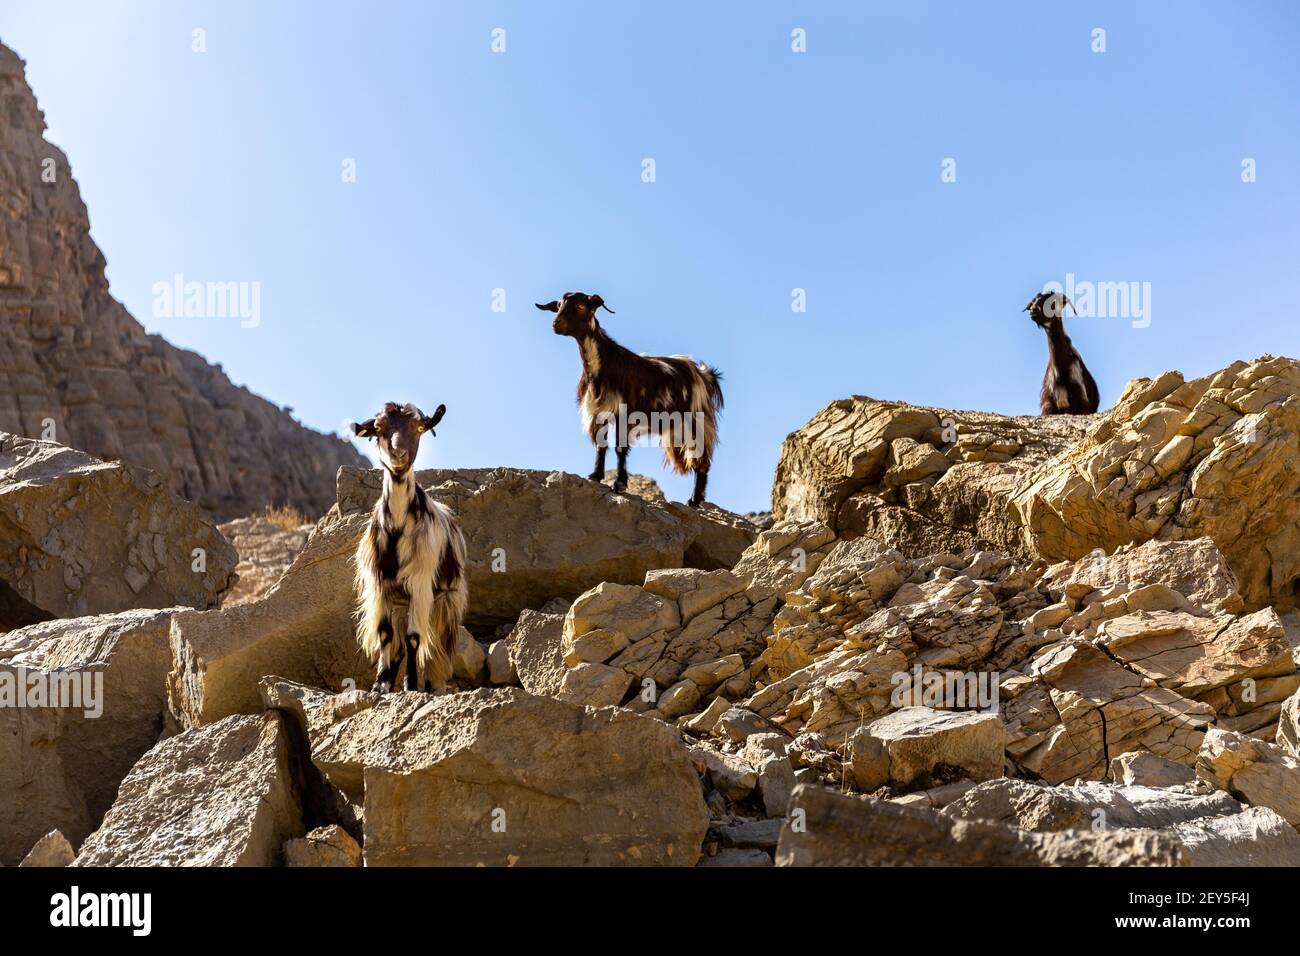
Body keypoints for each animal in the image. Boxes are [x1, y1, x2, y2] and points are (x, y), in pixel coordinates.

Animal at [345, 400, 467, 691]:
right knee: (398, 645)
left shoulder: (420, 583)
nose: (398, 454)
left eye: (419, 427)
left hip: (446, 599)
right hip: (402, 603)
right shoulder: (380, 586)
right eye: (378, 428)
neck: (398, 527)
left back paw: (433, 684)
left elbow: (414, 638)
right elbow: (385, 635)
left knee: (436, 647)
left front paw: (410, 684)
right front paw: (381, 684)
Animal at [533, 291, 728, 509]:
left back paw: (694, 500)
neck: (603, 365)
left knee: (701, 458)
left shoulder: (624, 413)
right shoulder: (597, 411)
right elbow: (601, 445)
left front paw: (619, 484)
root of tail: (704, 374)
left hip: (695, 420)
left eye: (581, 306)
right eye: (558, 305)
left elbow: (620, 448)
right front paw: (595, 475)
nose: (556, 324)